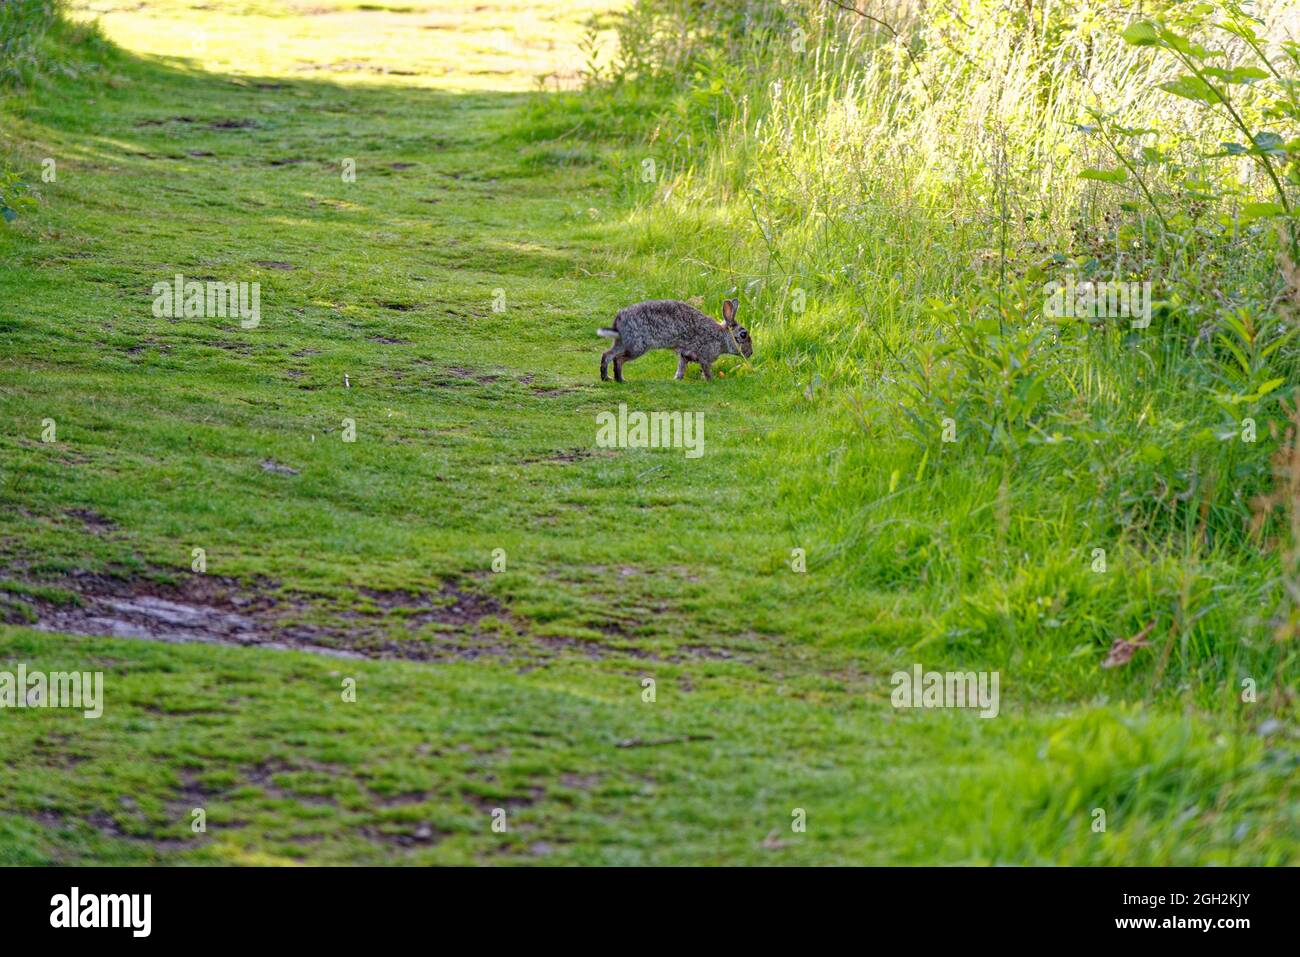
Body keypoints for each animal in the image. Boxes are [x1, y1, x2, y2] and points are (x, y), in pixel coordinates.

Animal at [597, 298, 751, 382]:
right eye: (743, 335)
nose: (750, 353)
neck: (721, 336)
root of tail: (618, 322)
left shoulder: (684, 355)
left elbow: (681, 368)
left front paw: (677, 379)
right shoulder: (705, 356)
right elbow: (706, 370)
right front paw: (711, 381)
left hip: (622, 343)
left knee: (607, 355)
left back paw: (607, 378)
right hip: (637, 347)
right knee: (618, 359)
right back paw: (621, 380)